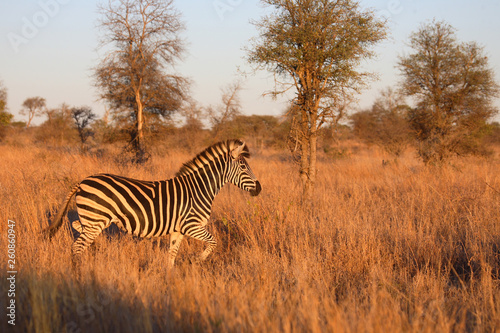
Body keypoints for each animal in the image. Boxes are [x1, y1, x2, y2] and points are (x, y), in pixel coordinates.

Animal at [44, 138, 262, 268]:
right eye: (243, 167)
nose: (259, 189)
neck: (199, 189)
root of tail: (82, 181)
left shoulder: (178, 229)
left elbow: (172, 255)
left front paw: (169, 278)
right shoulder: (191, 225)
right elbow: (213, 242)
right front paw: (197, 260)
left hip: (93, 219)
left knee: (77, 227)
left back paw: (95, 250)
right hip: (95, 218)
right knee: (77, 246)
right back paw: (78, 273)